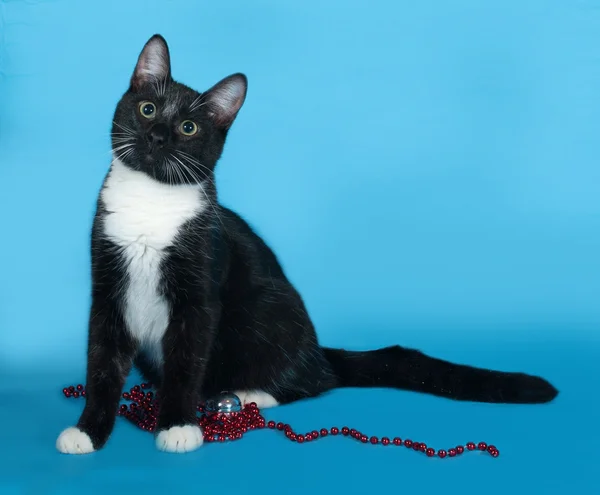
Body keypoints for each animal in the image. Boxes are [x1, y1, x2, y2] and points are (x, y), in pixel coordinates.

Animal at [55, 33, 556, 456]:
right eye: (146, 110)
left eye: (189, 128)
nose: (158, 136)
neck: (151, 201)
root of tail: (317, 350)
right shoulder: (107, 285)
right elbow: (101, 364)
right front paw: (88, 431)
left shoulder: (200, 293)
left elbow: (186, 362)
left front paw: (178, 426)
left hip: (272, 308)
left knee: (315, 381)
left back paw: (251, 392)